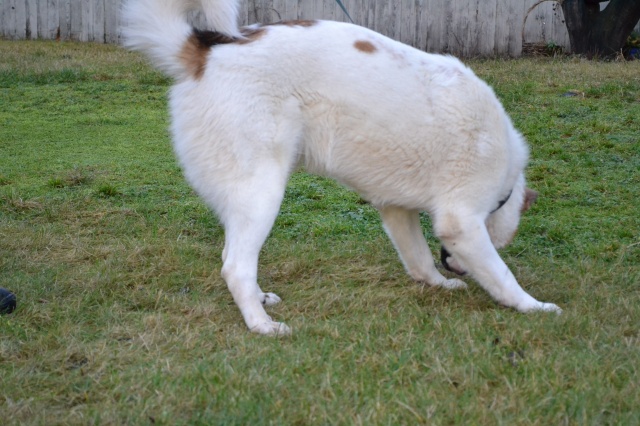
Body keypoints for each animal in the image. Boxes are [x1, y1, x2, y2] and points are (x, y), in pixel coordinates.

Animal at [123, 0, 561, 335]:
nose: (456, 268)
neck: (506, 178)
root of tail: (207, 49)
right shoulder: (462, 222)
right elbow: (503, 276)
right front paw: (533, 306)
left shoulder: (396, 210)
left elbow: (419, 260)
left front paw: (439, 283)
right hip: (262, 193)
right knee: (235, 268)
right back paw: (261, 324)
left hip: (241, 198)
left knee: (232, 253)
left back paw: (261, 300)